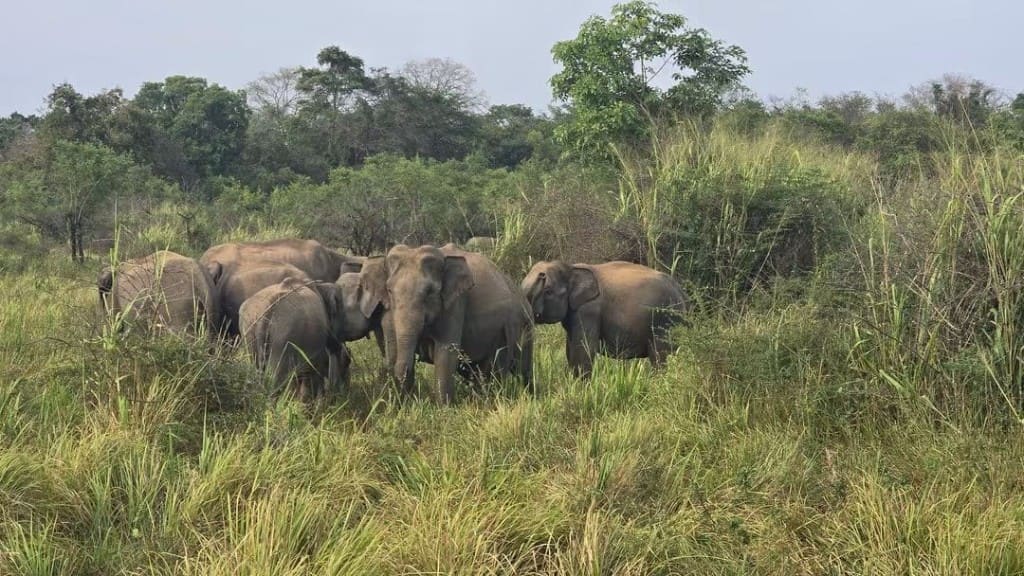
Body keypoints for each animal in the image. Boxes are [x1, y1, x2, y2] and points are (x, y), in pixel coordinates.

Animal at [360, 243, 534, 404]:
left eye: (430, 292)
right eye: (389, 290)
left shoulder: (455, 303)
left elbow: (445, 354)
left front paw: (443, 409)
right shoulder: (388, 310)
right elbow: (393, 349)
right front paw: (403, 405)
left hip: (522, 326)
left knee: (515, 368)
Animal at [521, 260, 687, 378]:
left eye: (548, 291)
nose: (541, 275)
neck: (572, 267)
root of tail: (681, 292)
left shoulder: (589, 311)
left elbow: (583, 350)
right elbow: (571, 349)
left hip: (665, 321)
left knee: (659, 357)